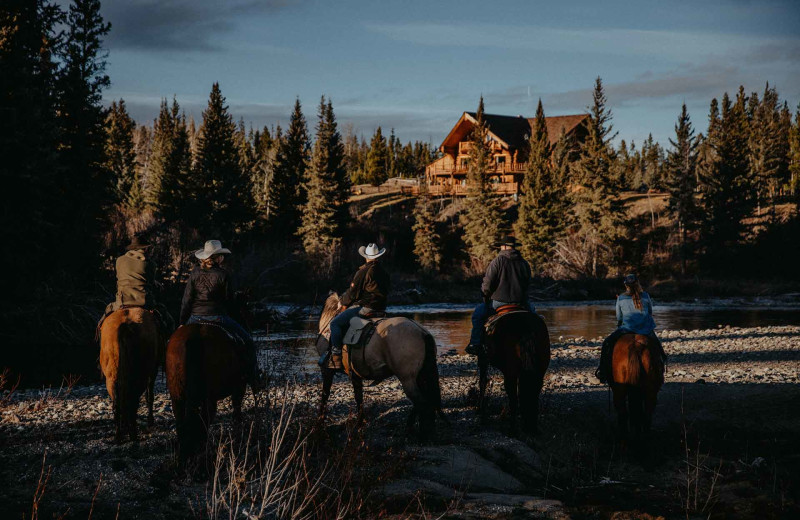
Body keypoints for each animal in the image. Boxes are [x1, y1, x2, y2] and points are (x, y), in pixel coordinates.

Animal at [98, 308, 164, 442]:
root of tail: (125, 326)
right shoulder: (153, 371)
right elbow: (150, 397)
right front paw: (150, 421)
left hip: (111, 378)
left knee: (118, 404)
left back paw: (119, 435)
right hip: (140, 377)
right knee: (133, 401)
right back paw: (133, 434)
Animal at [316, 292, 444, 438]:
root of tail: (421, 332)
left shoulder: (327, 371)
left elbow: (325, 396)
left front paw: (320, 423)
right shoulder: (355, 375)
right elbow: (359, 398)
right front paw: (360, 423)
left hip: (408, 380)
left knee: (422, 404)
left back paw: (421, 434)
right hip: (420, 376)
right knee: (424, 402)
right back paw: (413, 428)